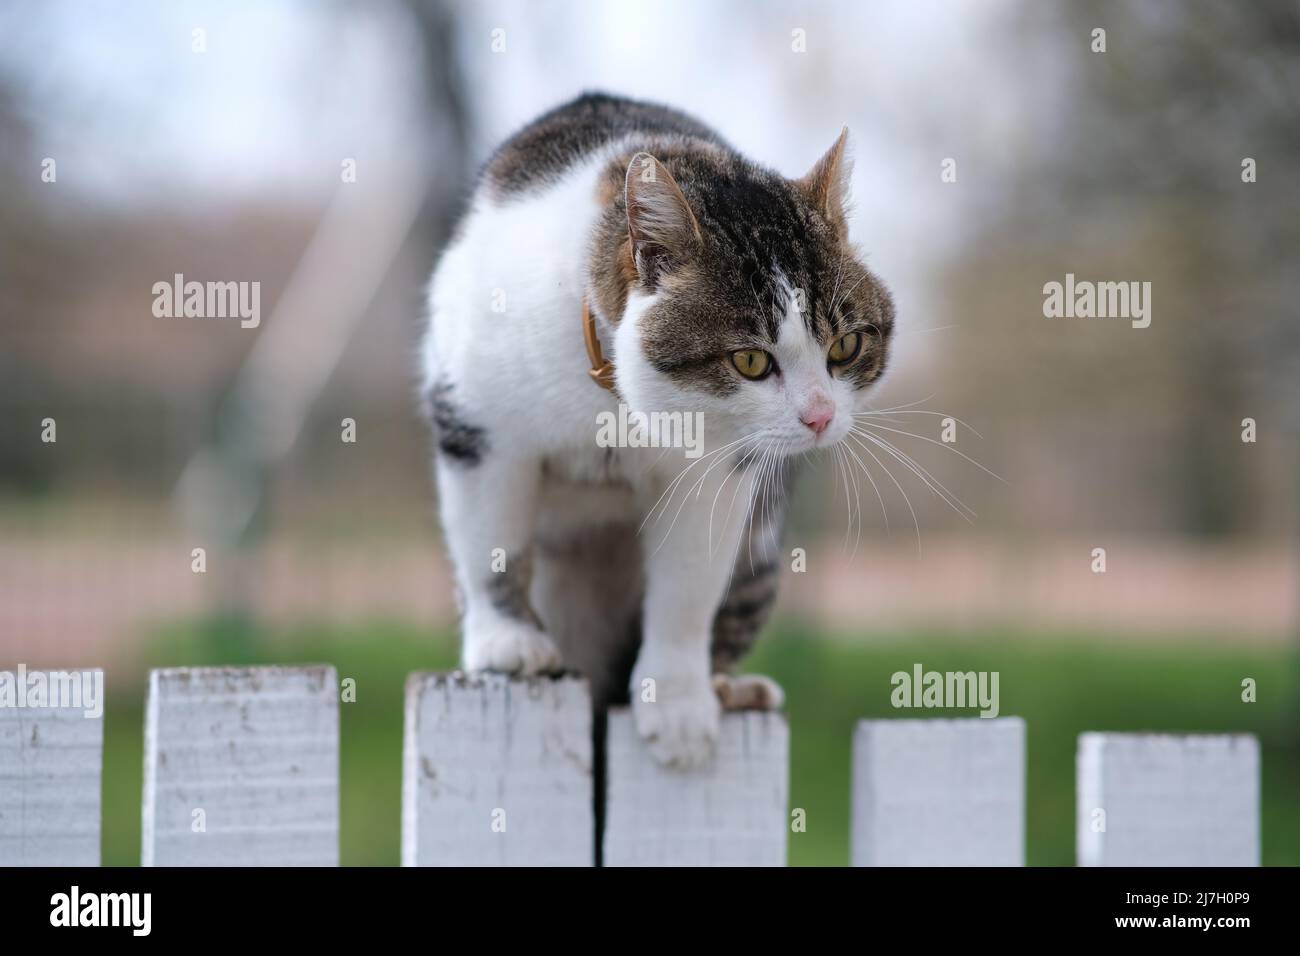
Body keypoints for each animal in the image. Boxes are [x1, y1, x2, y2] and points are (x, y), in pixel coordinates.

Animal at [421, 93, 889, 764]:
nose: (821, 416)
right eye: (751, 360)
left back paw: (727, 688)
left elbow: (688, 588)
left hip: (759, 551)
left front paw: (677, 702)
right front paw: (506, 640)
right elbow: (491, 543)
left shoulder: (716, 469)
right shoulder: (477, 423)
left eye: (846, 347)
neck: (619, 410)